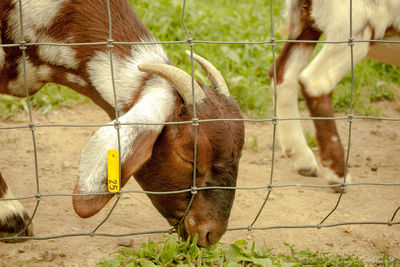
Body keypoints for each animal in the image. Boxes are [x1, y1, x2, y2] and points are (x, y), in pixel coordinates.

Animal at [270, 0, 398, 186]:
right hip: (356, 21)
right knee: (316, 81)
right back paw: (337, 173)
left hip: (305, 19)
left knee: (282, 74)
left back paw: (303, 159)